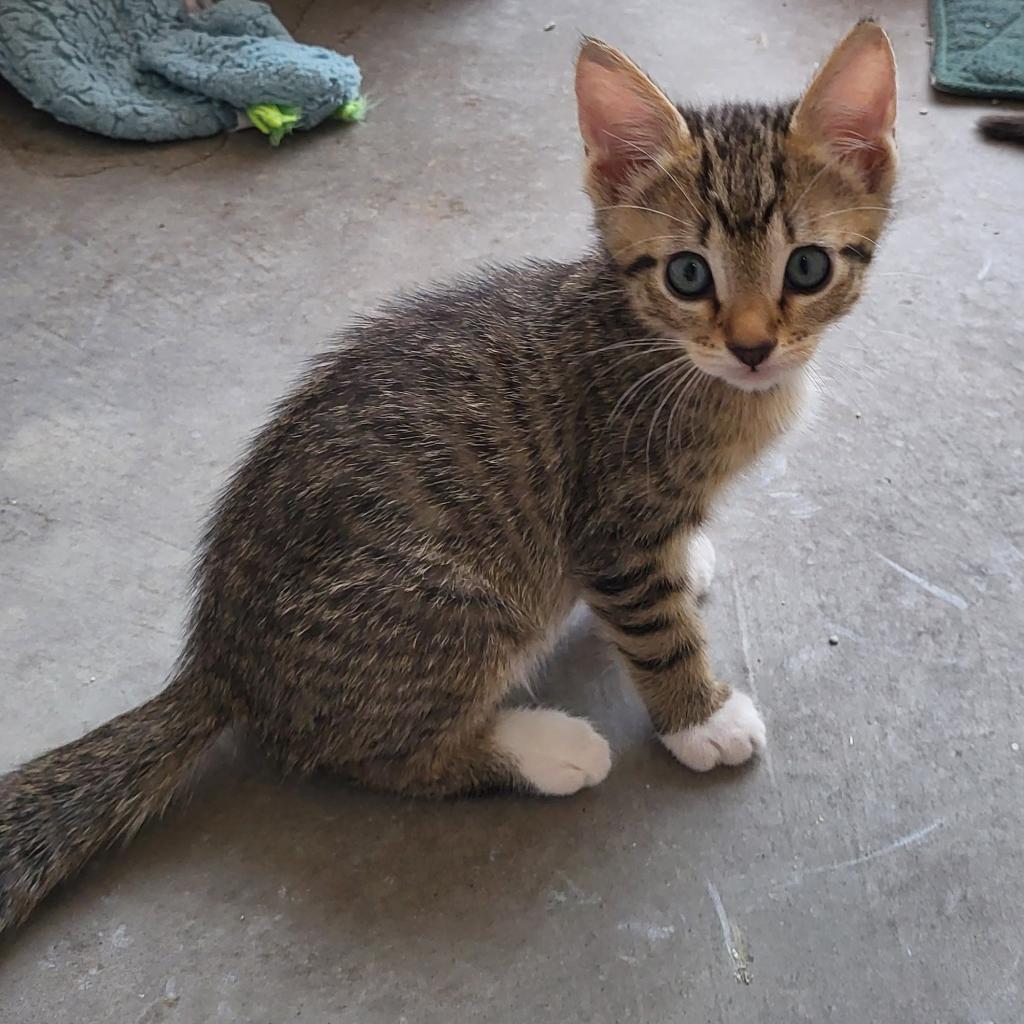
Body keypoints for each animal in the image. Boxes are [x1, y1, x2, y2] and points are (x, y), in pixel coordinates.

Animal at [0, 19, 897, 933]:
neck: (666, 351)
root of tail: (219, 662)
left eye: (807, 268)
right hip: (460, 606)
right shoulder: (612, 523)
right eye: (688, 274)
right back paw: (546, 750)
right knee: (384, 759)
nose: (752, 347)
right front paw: (700, 719)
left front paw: (692, 563)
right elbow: (657, 631)